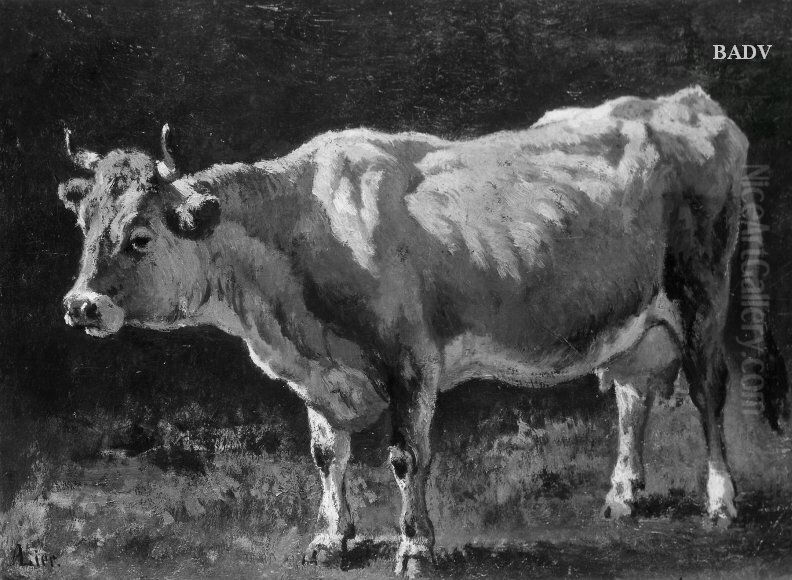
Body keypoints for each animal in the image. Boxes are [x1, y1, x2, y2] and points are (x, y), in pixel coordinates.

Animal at [58, 86, 778, 576]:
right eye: (85, 225)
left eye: (140, 236)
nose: (80, 306)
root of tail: (686, 102)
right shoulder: (321, 376)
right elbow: (327, 454)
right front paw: (331, 540)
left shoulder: (410, 361)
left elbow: (407, 458)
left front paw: (414, 546)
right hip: (634, 320)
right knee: (632, 396)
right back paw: (623, 495)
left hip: (702, 294)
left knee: (708, 392)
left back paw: (720, 500)